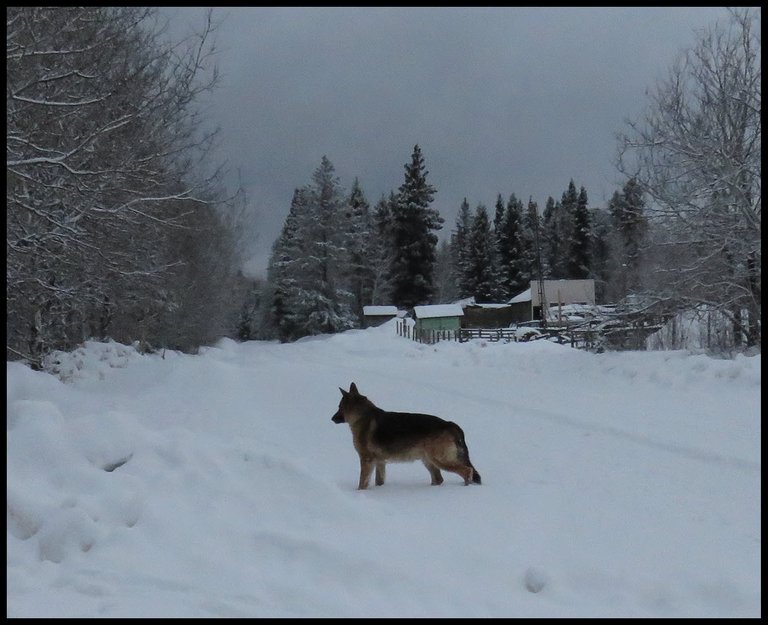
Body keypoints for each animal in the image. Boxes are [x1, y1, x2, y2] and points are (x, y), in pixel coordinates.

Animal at [330, 380, 480, 488]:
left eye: (339, 407)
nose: (331, 419)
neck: (362, 416)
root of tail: (450, 424)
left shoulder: (367, 460)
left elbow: (362, 483)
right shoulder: (380, 463)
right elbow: (379, 481)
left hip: (440, 460)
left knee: (467, 471)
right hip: (429, 461)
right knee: (439, 479)